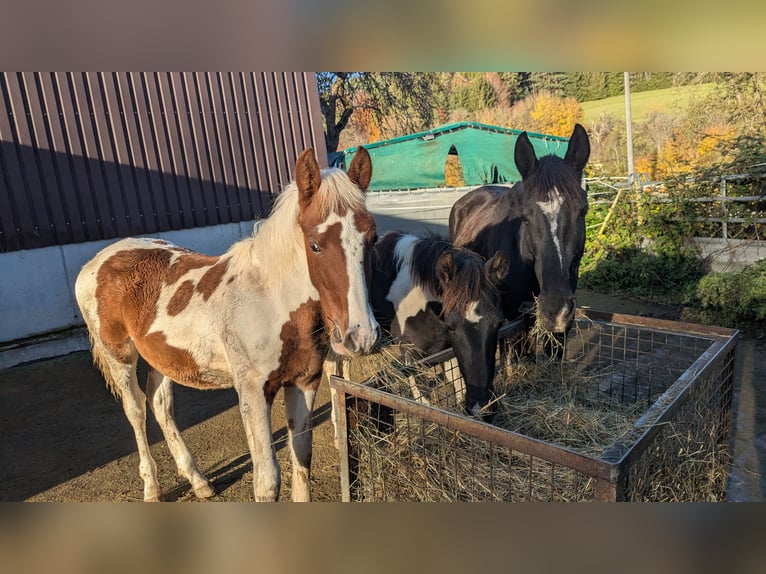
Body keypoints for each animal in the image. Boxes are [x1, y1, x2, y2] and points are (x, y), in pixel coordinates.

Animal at [74, 147, 380, 502]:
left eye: (372, 238)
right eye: (315, 244)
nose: (361, 335)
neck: (270, 302)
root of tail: (96, 261)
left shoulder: (304, 382)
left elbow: (302, 460)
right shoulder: (253, 390)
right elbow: (267, 480)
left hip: (162, 358)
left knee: (160, 405)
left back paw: (198, 481)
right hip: (119, 357)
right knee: (136, 410)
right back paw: (152, 488)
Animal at [369, 231, 508, 416]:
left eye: (499, 323)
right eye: (450, 326)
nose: (481, 407)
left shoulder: (448, 350)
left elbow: (458, 384)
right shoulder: (410, 354)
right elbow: (424, 403)